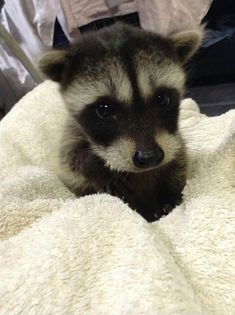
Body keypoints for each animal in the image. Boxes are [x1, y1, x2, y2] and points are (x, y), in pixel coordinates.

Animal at [40, 23, 202, 222]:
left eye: (162, 99)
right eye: (104, 109)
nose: (149, 157)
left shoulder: (173, 140)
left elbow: (178, 158)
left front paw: (169, 195)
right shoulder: (70, 134)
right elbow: (70, 158)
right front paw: (102, 170)